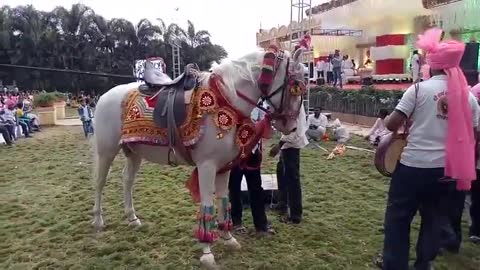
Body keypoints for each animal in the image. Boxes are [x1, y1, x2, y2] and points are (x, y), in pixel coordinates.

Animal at [92, 46, 306, 268]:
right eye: (295, 85)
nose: (292, 127)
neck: (225, 99)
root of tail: (105, 96)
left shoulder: (224, 168)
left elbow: (223, 201)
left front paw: (229, 238)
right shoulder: (207, 166)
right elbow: (207, 205)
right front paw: (207, 252)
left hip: (134, 152)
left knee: (127, 180)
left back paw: (132, 218)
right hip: (106, 150)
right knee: (100, 182)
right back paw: (98, 220)